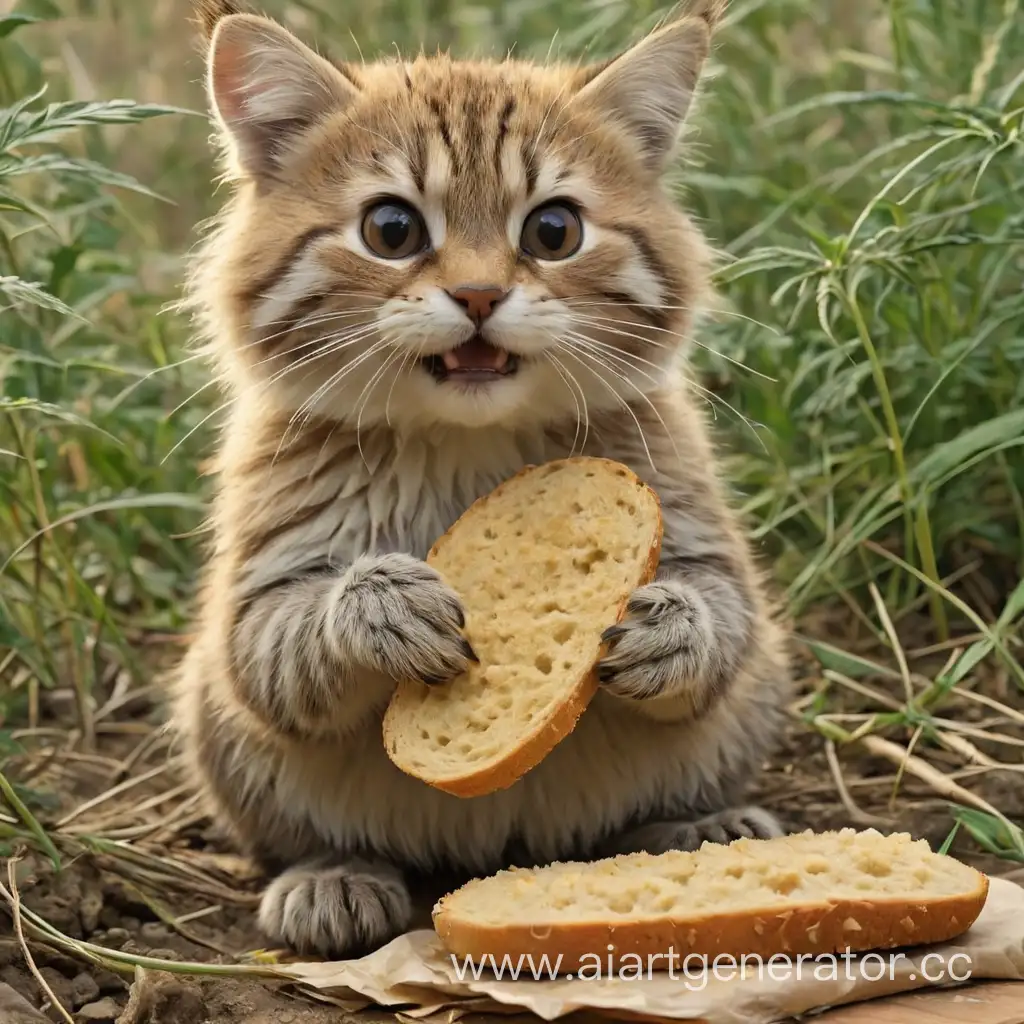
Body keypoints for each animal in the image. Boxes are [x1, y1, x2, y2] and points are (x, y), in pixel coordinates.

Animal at [174, 0, 790, 958]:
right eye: (391, 230)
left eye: (553, 230)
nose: (476, 296)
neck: (464, 443)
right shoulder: (253, 602)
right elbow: (284, 642)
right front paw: (377, 607)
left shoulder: (700, 535)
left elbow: (723, 614)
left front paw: (674, 630)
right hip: (215, 721)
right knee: (301, 832)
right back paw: (331, 876)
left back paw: (697, 828)